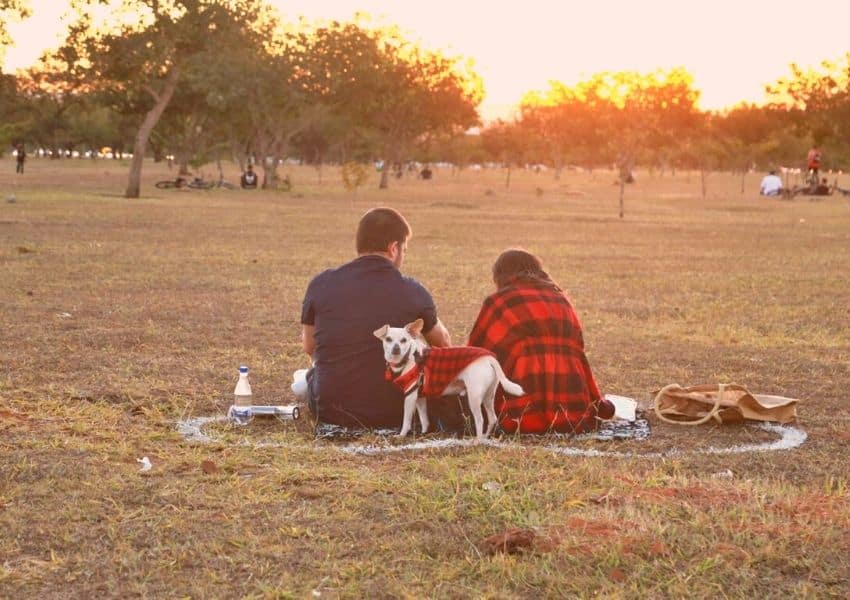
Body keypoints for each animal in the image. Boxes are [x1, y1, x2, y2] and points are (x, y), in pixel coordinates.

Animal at [372, 318, 520, 440]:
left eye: (404, 340)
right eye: (388, 339)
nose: (396, 348)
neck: (409, 357)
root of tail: (489, 358)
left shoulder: (410, 397)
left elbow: (406, 420)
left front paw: (402, 435)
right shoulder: (419, 397)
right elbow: (424, 418)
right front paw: (424, 433)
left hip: (474, 397)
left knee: (480, 420)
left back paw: (477, 441)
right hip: (488, 396)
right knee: (492, 418)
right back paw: (484, 437)